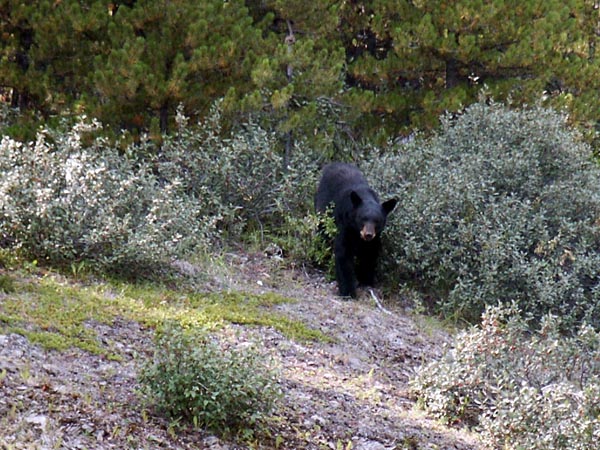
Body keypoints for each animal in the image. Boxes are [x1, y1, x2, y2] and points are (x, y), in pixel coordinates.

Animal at [314, 163, 398, 298]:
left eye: (377, 221)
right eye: (362, 218)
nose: (368, 234)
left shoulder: (375, 237)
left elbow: (370, 253)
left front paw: (366, 280)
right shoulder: (345, 225)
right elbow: (343, 253)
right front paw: (348, 291)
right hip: (322, 209)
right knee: (322, 233)